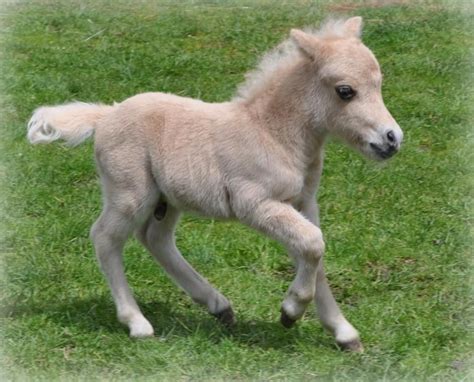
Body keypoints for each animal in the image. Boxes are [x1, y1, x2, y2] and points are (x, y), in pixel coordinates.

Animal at [27, 17, 402, 352]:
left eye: (379, 84)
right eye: (345, 91)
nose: (392, 139)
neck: (273, 134)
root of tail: (104, 115)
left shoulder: (305, 201)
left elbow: (315, 253)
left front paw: (343, 333)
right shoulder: (254, 203)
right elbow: (312, 243)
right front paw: (291, 311)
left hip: (168, 199)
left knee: (155, 238)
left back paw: (218, 306)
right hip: (130, 192)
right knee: (105, 237)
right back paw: (138, 323)